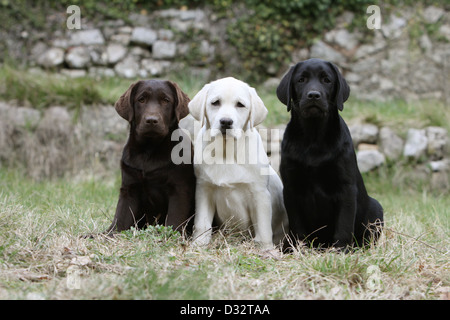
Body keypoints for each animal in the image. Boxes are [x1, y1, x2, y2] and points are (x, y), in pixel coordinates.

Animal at [107, 80, 197, 235]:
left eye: (166, 100)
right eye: (141, 100)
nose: (151, 120)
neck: (149, 151)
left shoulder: (179, 189)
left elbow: (174, 219)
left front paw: (170, 236)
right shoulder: (129, 189)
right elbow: (120, 218)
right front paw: (105, 234)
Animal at [187, 76, 286, 249]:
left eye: (240, 104)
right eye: (215, 103)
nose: (226, 122)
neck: (227, 152)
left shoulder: (259, 194)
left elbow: (263, 228)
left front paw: (266, 249)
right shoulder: (204, 189)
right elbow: (202, 223)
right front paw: (199, 244)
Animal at [276, 59, 384, 250]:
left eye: (327, 80)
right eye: (301, 80)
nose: (313, 95)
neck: (313, 137)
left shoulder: (346, 187)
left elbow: (344, 223)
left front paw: (341, 249)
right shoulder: (291, 188)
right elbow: (297, 225)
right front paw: (299, 248)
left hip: (376, 208)